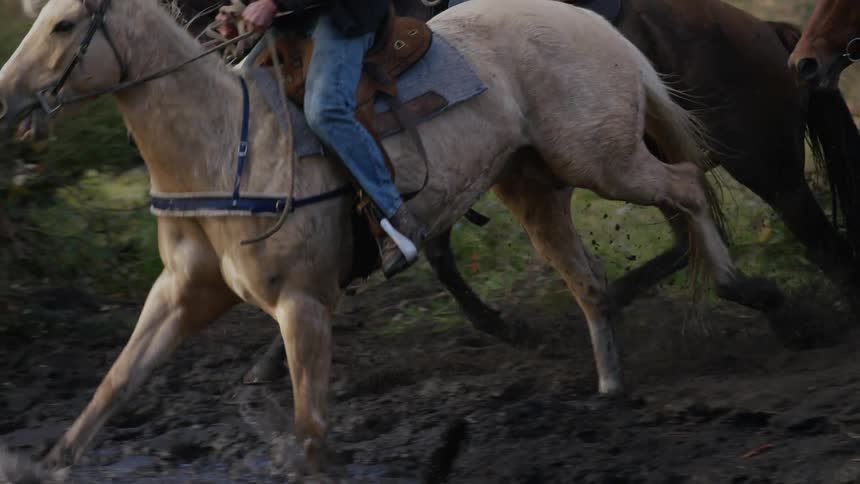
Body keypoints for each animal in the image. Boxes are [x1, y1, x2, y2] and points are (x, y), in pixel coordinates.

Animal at [0, 0, 786, 474]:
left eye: (65, 25)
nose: (7, 99)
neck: (231, 146)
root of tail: (596, 25)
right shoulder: (183, 294)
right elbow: (114, 385)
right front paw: (54, 461)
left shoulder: (304, 306)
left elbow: (312, 430)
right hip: (534, 187)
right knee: (591, 282)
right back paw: (611, 385)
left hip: (603, 161)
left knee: (687, 184)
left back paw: (750, 291)